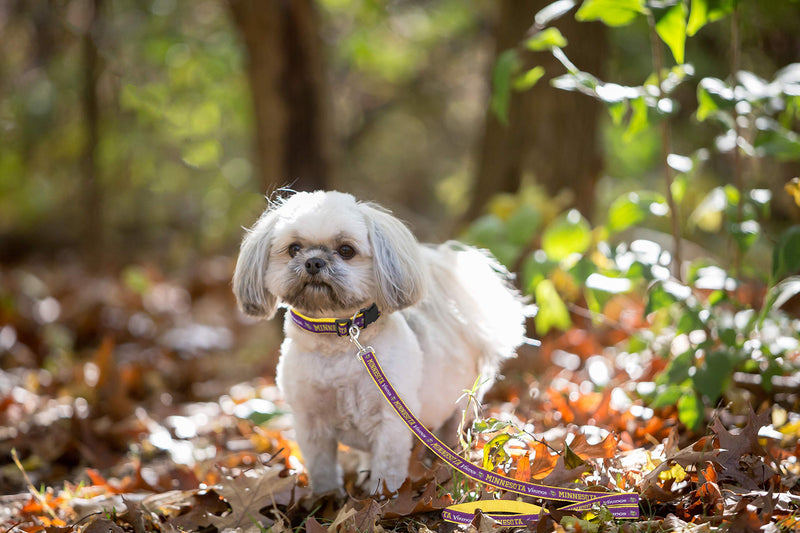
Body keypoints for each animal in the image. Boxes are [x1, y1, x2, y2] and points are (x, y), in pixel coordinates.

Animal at [233, 189, 524, 492]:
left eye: (346, 250)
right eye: (294, 249)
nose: (313, 262)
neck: (337, 342)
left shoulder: (391, 421)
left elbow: (387, 470)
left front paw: (382, 498)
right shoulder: (310, 423)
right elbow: (322, 469)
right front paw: (326, 497)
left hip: (459, 407)